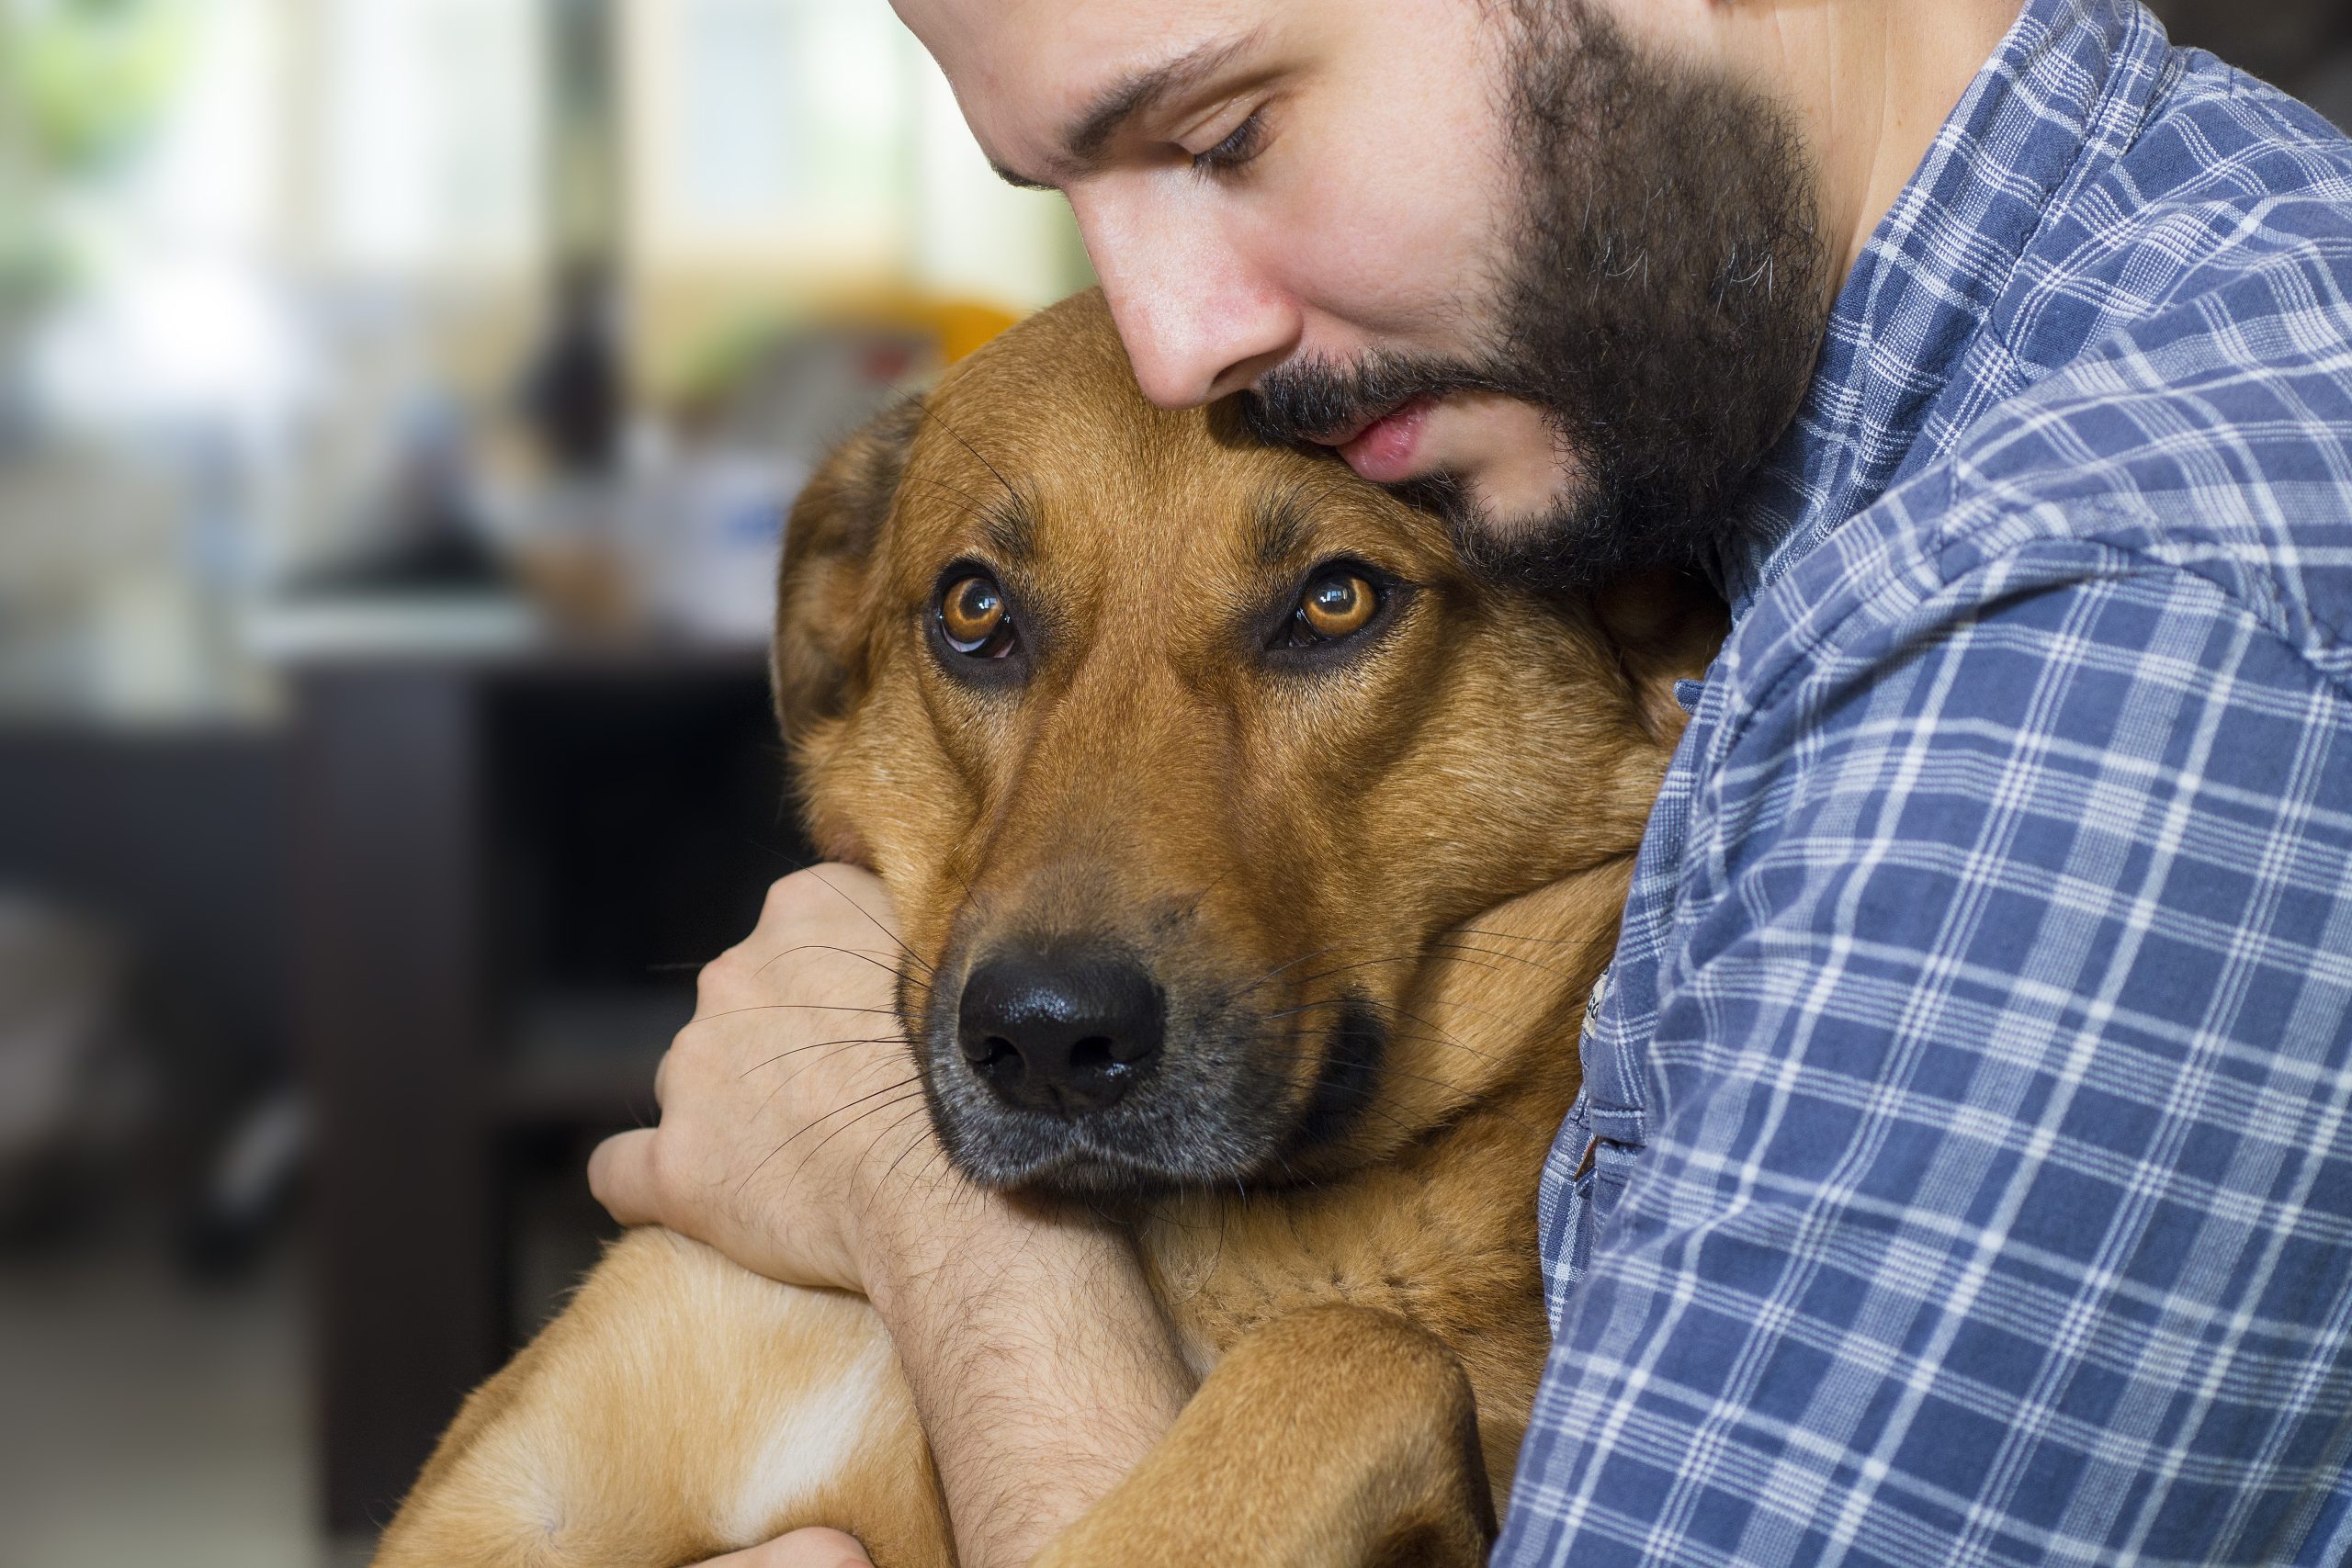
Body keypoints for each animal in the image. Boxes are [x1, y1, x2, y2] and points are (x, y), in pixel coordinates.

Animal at [371, 293, 1731, 1568]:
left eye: (1338, 599)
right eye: (973, 610)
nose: (1046, 1040)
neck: (1168, 1237)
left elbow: (1354, 1348)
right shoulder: (500, 1504)